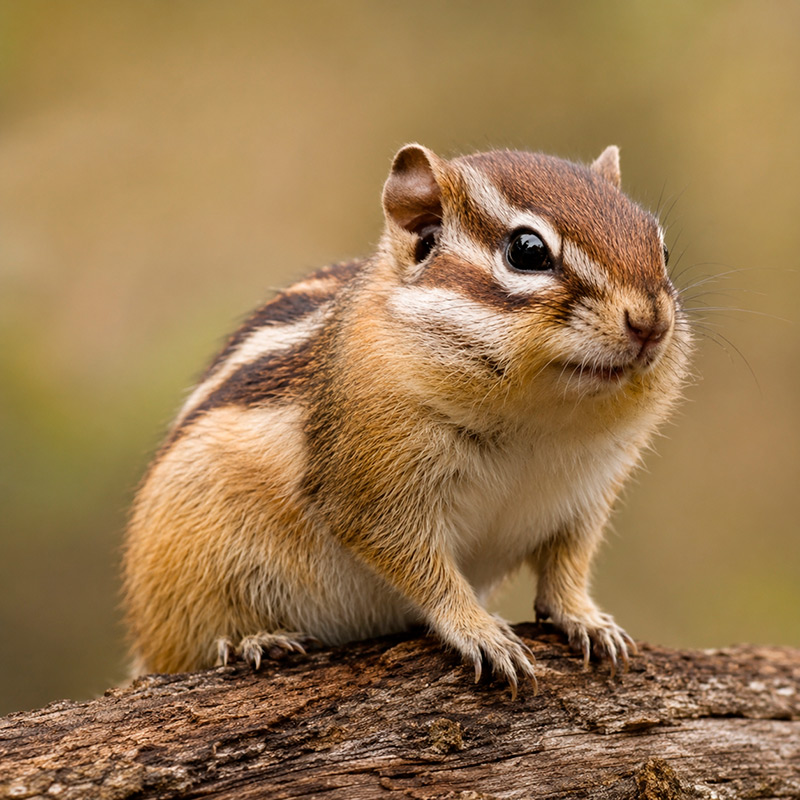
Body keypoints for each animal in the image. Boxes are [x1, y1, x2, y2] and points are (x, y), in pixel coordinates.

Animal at [123, 143, 691, 696]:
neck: (541, 422)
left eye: (661, 248)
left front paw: (588, 619)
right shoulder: (371, 490)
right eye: (527, 251)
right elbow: (421, 569)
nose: (650, 323)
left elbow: (568, 566)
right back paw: (251, 642)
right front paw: (480, 631)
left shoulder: (589, 495)